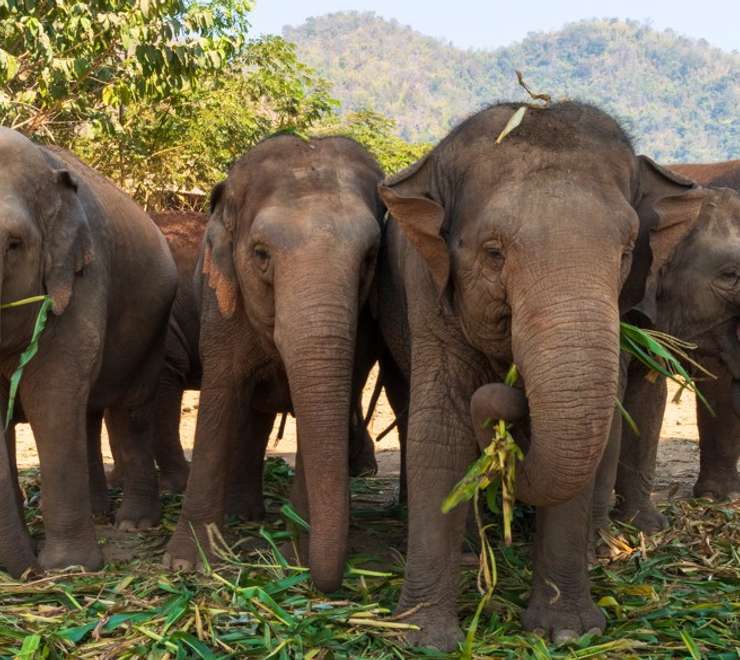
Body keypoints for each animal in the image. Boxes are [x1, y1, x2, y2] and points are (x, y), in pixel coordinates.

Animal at [0, 128, 177, 575]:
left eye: (14, 244)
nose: (29, 571)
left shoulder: (82, 277)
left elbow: (52, 393)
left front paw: (69, 568)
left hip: (153, 327)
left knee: (129, 413)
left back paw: (133, 524)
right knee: (87, 415)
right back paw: (98, 514)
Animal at [163, 134, 385, 589]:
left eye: (370, 257)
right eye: (261, 254)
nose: (323, 581)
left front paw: (297, 556)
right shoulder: (221, 303)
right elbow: (221, 396)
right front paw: (185, 565)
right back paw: (242, 514)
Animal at [375, 101, 706, 650]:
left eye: (625, 252)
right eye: (493, 252)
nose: (507, 390)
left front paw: (568, 632)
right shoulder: (428, 294)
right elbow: (439, 433)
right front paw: (420, 638)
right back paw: (472, 552)